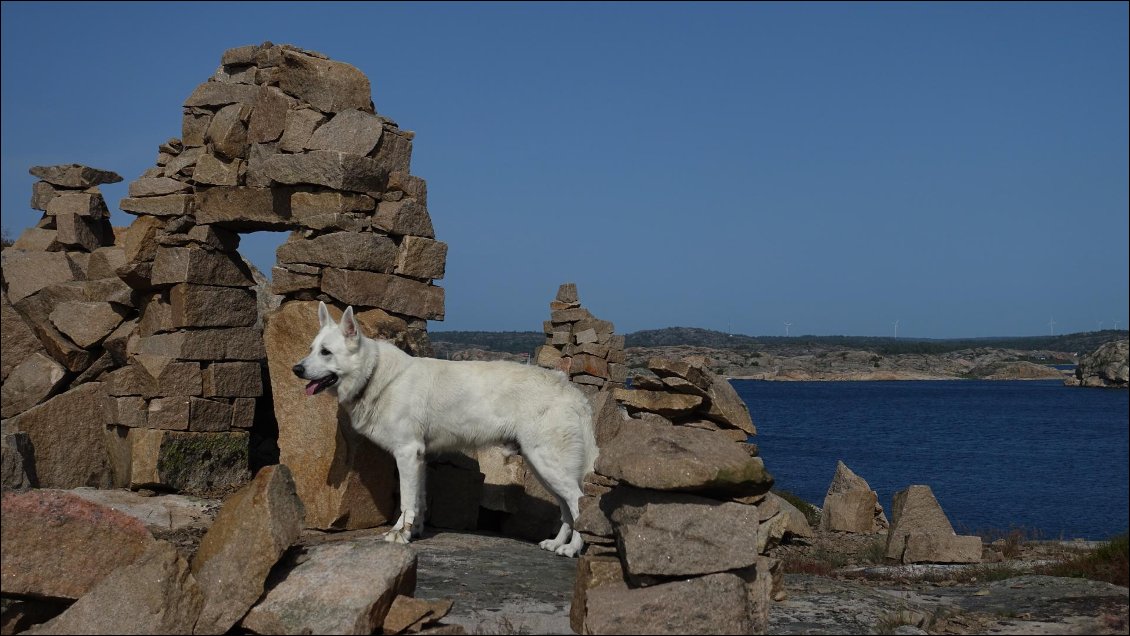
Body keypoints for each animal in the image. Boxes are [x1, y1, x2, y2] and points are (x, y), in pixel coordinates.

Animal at [293, 302, 601, 558]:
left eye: (326, 352)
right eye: (310, 349)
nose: (296, 369)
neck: (374, 374)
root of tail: (571, 390)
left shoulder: (407, 454)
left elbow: (406, 500)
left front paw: (398, 534)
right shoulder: (419, 459)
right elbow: (417, 501)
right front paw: (413, 531)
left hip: (548, 464)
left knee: (578, 503)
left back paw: (572, 549)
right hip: (544, 468)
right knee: (567, 511)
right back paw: (557, 544)